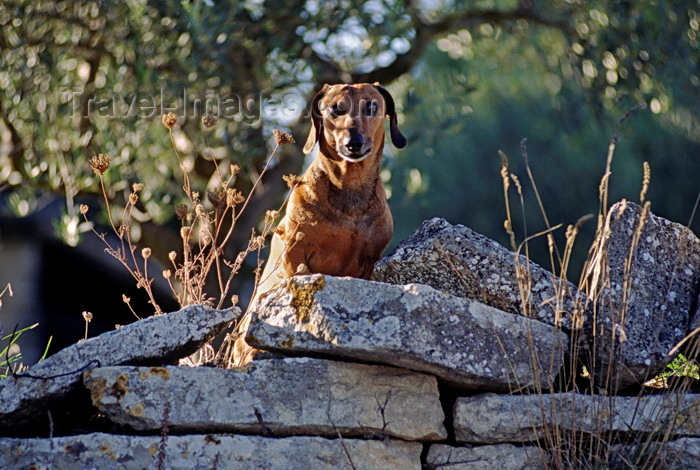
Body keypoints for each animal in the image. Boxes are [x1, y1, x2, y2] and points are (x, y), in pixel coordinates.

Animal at [230, 82, 404, 366]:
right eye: (335, 109)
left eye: (371, 107)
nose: (353, 143)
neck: (350, 188)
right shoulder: (294, 255)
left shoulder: (369, 260)